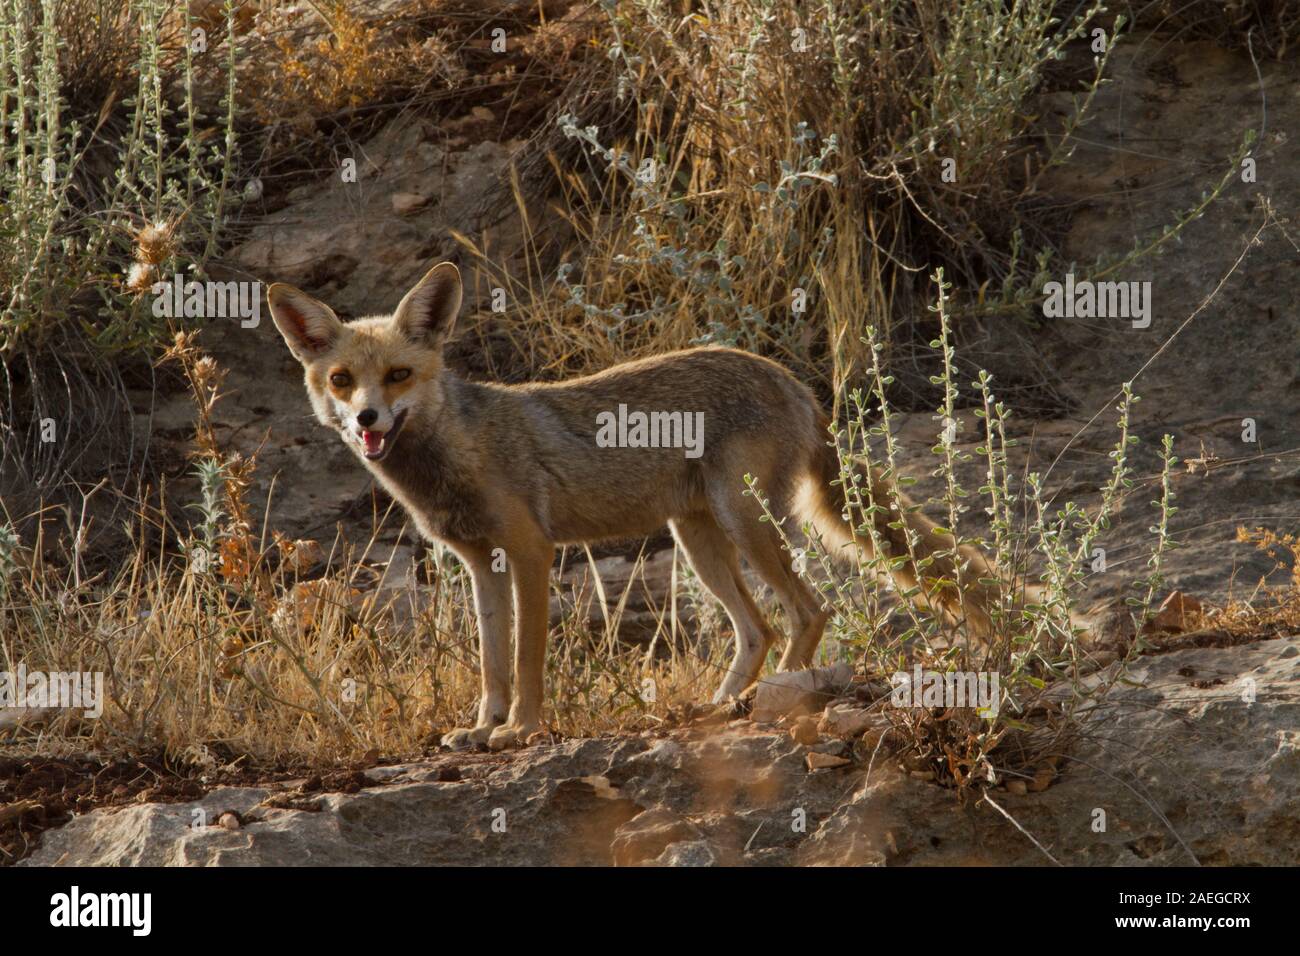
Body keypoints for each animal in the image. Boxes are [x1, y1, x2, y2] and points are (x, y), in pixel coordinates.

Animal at [261, 265, 993, 749]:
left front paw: (520, 730)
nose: (367, 420)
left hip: (745, 523)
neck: (457, 454)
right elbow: (492, 662)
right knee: (757, 628)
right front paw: (482, 726)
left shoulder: (531, 552)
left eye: (399, 376)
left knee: (808, 611)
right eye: (342, 380)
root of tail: (797, 384)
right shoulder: (480, 564)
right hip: (699, 540)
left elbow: (526, 661)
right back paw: (722, 706)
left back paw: (772, 698)